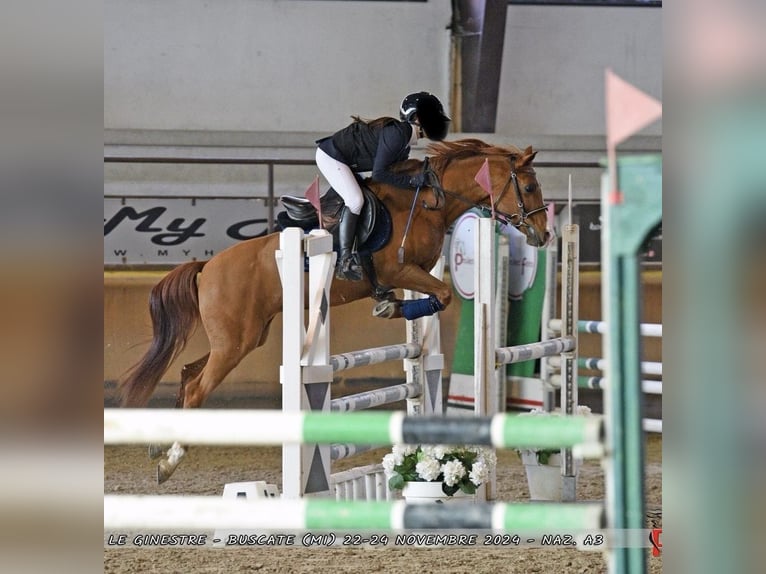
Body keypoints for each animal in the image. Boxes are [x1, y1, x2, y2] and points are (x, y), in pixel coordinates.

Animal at [118, 138, 552, 482]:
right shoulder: (400, 269)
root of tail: (207, 266)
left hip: (245, 337)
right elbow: (442, 295)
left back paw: (159, 445)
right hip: (234, 342)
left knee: (188, 372)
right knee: (196, 387)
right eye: (529, 186)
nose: (543, 234)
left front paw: (389, 305)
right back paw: (169, 461)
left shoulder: (416, 271)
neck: (428, 202)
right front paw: (390, 307)